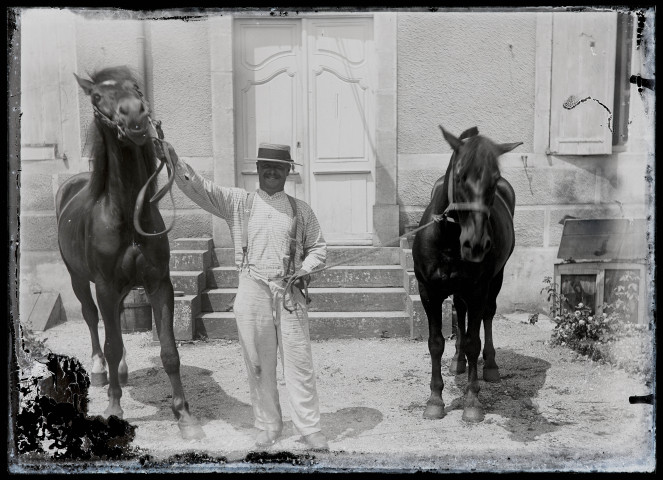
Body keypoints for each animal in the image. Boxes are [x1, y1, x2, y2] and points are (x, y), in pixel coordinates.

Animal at [55, 66, 204, 438]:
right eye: (96, 97)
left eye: (136, 87)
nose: (134, 115)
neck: (127, 216)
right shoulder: (105, 285)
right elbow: (110, 343)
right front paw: (114, 408)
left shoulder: (158, 283)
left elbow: (169, 351)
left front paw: (184, 416)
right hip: (78, 277)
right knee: (93, 319)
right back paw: (99, 370)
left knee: (117, 321)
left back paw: (120, 370)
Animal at [412, 125, 520, 422]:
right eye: (460, 176)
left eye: (494, 180)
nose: (476, 244)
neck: (448, 241)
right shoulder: (429, 292)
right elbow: (436, 343)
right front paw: (435, 400)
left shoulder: (478, 290)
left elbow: (474, 341)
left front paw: (472, 401)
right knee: (460, 313)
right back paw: (457, 361)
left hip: (495, 280)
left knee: (488, 316)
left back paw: (491, 365)